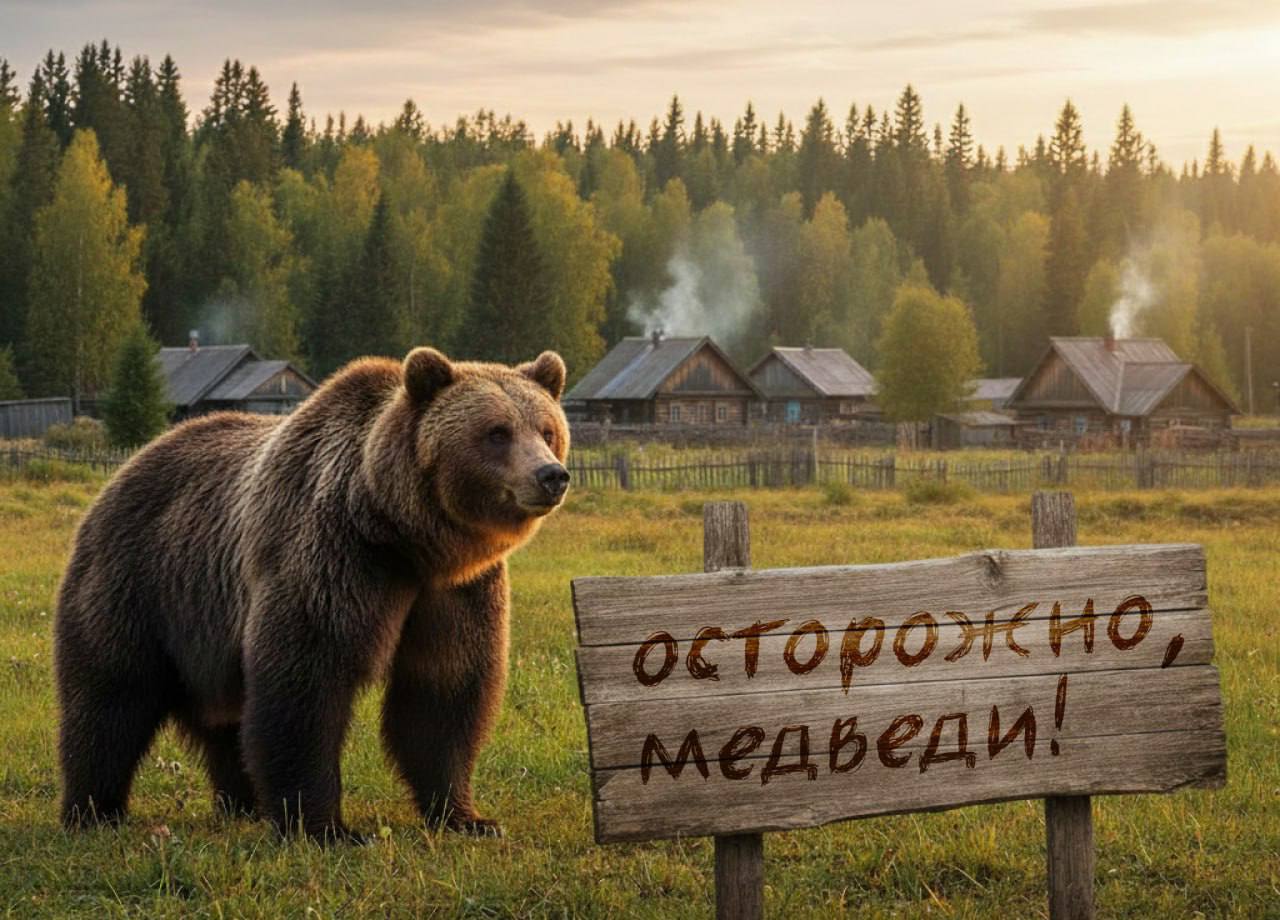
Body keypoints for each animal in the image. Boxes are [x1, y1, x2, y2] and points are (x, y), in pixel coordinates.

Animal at [54, 346, 570, 841]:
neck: (403, 536)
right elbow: (308, 680)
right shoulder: (332, 556)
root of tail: (125, 468)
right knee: (110, 696)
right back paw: (94, 809)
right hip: (141, 583)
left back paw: (243, 803)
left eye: (546, 430)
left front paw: (467, 817)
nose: (552, 475)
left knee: (224, 720)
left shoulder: (454, 591)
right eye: (497, 432)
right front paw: (327, 828)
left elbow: (443, 690)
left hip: (206, 630)